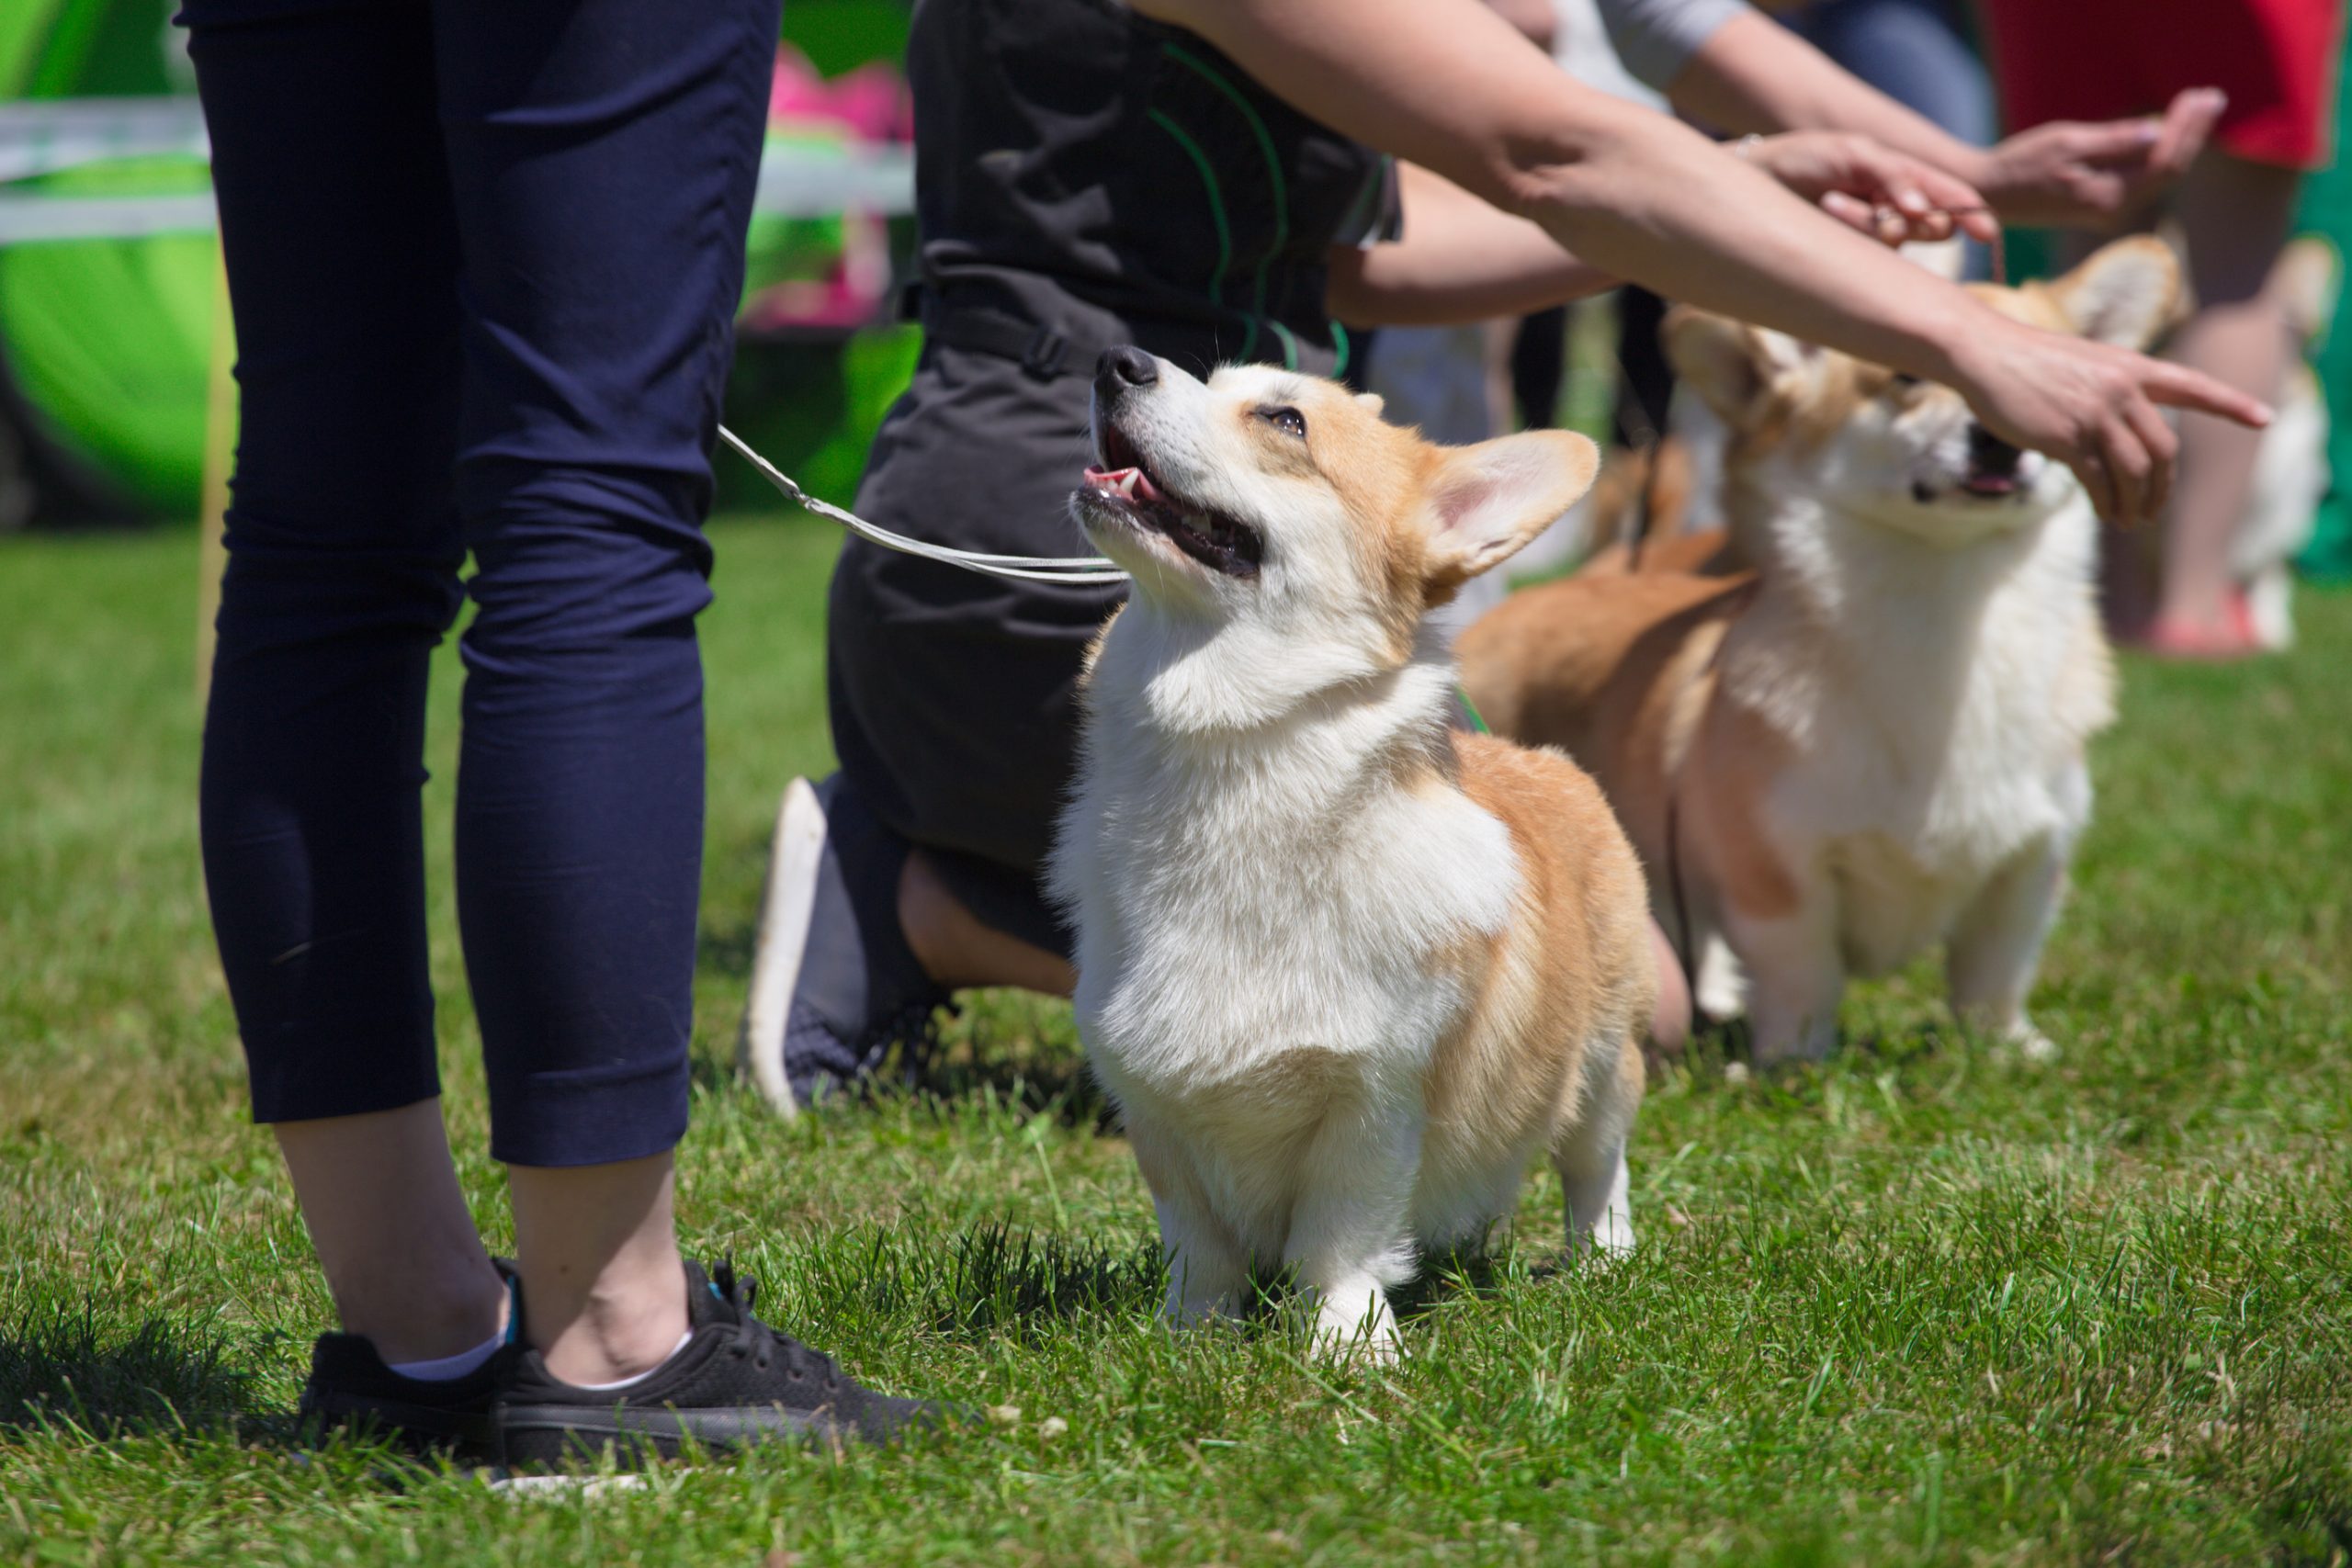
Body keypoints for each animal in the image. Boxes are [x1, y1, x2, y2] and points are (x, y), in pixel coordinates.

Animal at [1048, 350, 1656, 1354]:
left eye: (1285, 421)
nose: (1117, 360)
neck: (1232, 767)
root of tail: (1539, 756)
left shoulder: (1374, 1101)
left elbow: (1338, 1237)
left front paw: (1347, 1345)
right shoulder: (1152, 1102)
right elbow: (1198, 1244)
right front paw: (1190, 1336)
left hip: (1604, 1059)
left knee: (1595, 1166)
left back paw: (1602, 1263)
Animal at [1448, 236, 2182, 1066]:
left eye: (2044, 387)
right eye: (1906, 374)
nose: (1999, 438)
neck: (1944, 601)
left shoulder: (2030, 857)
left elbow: (1995, 967)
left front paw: (2006, 1048)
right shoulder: (1777, 869)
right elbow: (1802, 970)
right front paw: (1794, 1060)